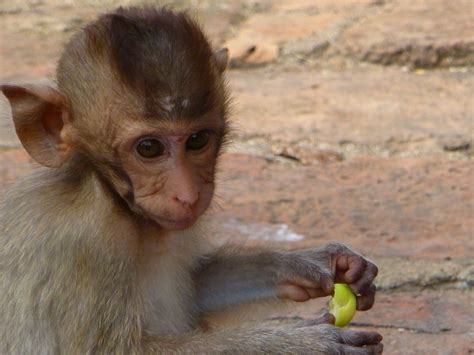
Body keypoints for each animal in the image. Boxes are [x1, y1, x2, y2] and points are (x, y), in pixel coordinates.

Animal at [0, 6, 384, 354]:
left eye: (197, 140)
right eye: (149, 148)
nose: (187, 194)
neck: (117, 202)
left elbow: (195, 289)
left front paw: (312, 263)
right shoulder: (86, 242)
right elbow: (110, 350)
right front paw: (307, 344)